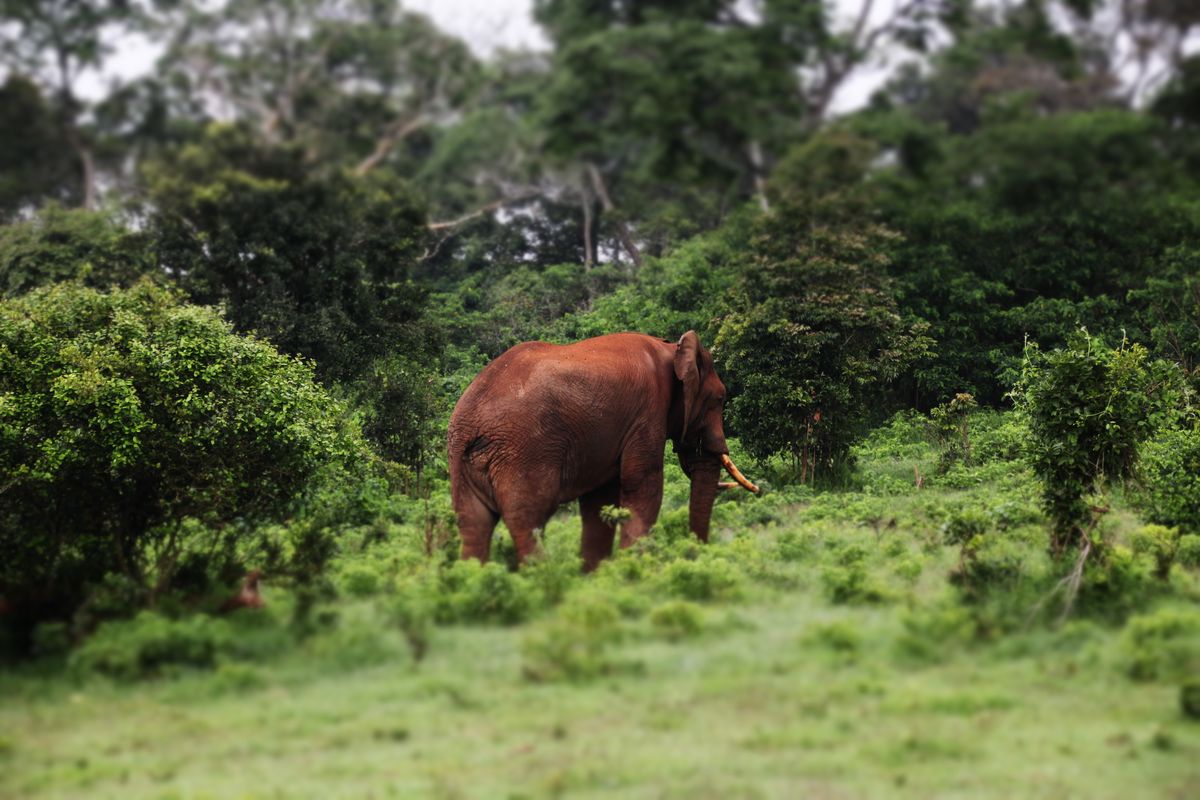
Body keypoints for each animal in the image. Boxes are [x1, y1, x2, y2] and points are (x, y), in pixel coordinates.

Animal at [447, 331, 758, 571]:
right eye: (720, 399)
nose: (695, 555)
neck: (672, 349)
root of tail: (470, 420)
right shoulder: (647, 413)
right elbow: (642, 487)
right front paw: (633, 572)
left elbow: (600, 501)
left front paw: (596, 577)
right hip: (523, 452)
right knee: (528, 520)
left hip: (463, 460)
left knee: (473, 523)